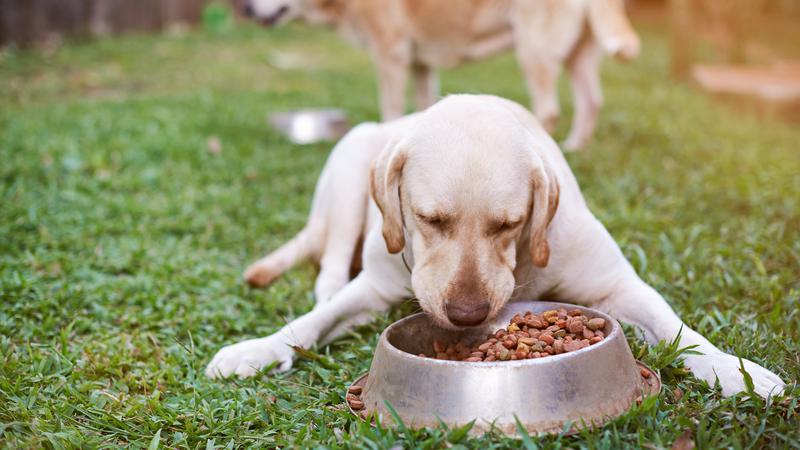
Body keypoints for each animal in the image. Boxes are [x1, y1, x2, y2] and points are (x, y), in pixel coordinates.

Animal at [207, 95, 786, 398]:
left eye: (510, 223)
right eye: (428, 219)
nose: (466, 315)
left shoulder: (616, 283)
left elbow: (679, 330)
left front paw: (736, 370)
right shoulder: (374, 286)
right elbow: (311, 324)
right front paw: (256, 349)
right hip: (349, 167)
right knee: (329, 268)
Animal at [242, 0, 640, 150]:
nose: (244, 8)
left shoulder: (391, 55)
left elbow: (390, 110)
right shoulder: (420, 63)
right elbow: (422, 109)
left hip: (533, 48)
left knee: (549, 110)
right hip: (576, 53)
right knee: (591, 100)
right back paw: (574, 148)